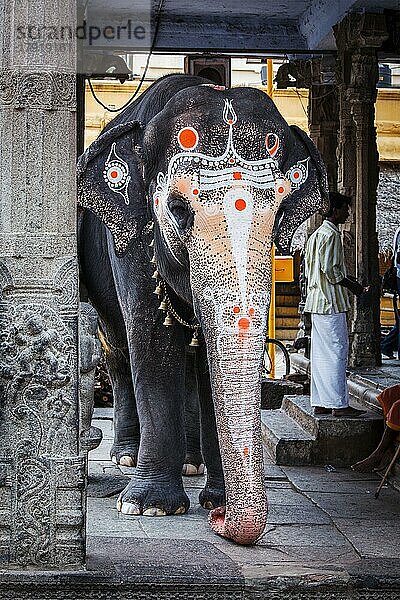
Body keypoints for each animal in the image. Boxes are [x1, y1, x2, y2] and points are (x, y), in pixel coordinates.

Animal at [76, 74, 326, 544]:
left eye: (280, 210)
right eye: (177, 209)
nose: (223, 523)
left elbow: (210, 363)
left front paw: (216, 501)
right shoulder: (134, 239)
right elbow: (153, 344)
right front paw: (147, 507)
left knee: (191, 362)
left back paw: (191, 464)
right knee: (117, 347)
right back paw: (125, 458)